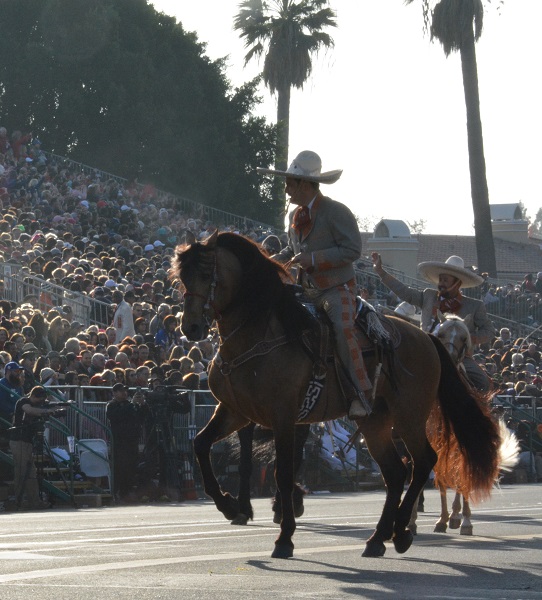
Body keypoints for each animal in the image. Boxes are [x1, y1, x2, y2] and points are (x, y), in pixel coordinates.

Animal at [176, 232, 504, 560]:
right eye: (181, 276)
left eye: (204, 273)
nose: (190, 327)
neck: (260, 336)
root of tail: (427, 337)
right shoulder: (236, 411)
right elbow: (201, 444)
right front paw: (230, 506)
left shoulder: (283, 417)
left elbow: (284, 474)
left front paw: (284, 537)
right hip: (375, 422)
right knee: (396, 472)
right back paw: (380, 538)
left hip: (410, 417)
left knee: (424, 463)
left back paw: (404, 530)